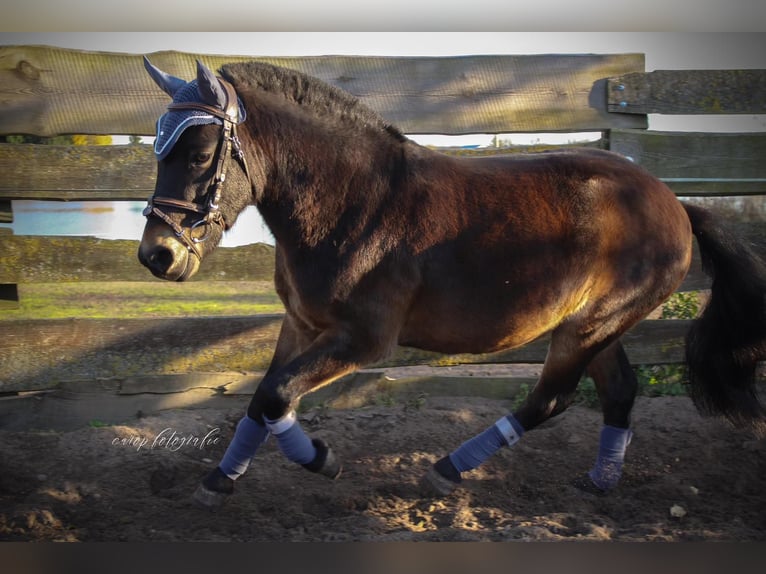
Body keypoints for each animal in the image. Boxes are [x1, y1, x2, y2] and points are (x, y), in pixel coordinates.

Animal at [138, 57, 766, 508]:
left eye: (199, 153)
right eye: (159, 148)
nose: (157, 255)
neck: (353, 203)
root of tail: (677, 204)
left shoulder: (363, 340)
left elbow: (275, 396)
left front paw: (323, 459)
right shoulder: (301, 324)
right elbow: (261, 399)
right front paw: (218, 481)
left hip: (592, 325)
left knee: (551, 399)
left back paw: (446, 469)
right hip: (596, 327)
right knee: (618, 392)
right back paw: (598, 483)